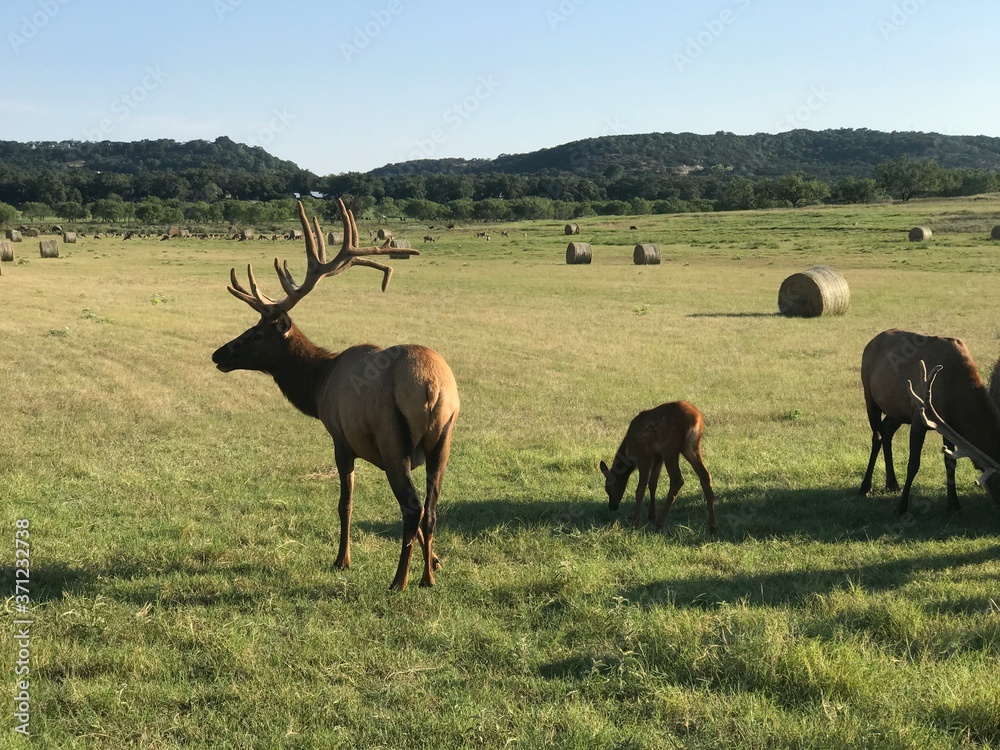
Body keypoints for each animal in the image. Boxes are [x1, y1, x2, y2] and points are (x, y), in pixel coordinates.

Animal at [212, 199, 460, 591]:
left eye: (256, 334)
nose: (218, 354)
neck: (318, 385)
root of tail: (433, 388)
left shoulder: (341, 438)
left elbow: (345, 503)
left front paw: (341, 559)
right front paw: (436, 561)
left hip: (392, 438)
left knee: (412, 507)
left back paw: (399, 580)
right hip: (444, 438)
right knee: (431, 509)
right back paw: (427, 579)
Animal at [599, 401, 719, 534]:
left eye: (608, 488)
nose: (612, 506)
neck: (628, 452)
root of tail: (696, 418)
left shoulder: (645, 455)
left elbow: (640, 488)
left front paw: (635, 523)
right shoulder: (658, 457)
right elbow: (653, 484)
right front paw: (651, 515)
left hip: (670, 447)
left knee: (677, 479)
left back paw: (659, 524)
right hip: (691, 447)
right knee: (705, 475)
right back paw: (713, 526)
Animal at [860, 329, 1000, 516]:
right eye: (999, 482)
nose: (997, 504)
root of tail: (871, 342)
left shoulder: (948, 424)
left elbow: (951, 463)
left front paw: (954, 504)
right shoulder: (919, 417)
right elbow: (913, 464)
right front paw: (901, 507)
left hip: (897, 412)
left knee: (887, 433)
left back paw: (892, 483)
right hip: (870, 396)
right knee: (877, 436)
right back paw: (865, 487)